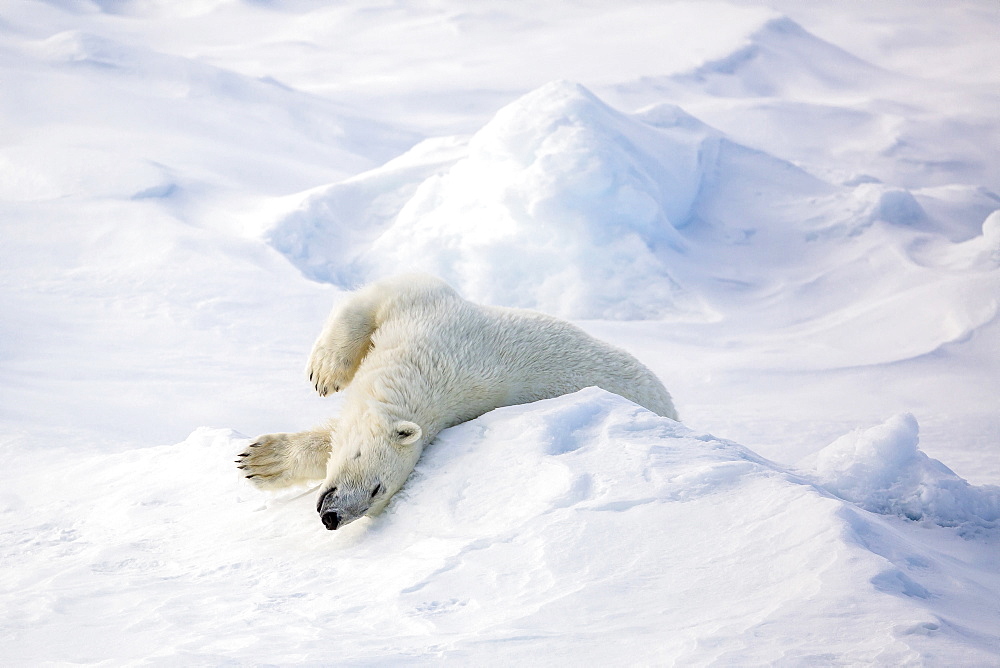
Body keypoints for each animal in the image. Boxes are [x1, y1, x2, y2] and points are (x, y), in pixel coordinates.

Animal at [238, 274, 680, 528]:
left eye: (379, 492)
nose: (333, 518)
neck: (434, 368)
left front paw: (259, 461)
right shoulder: (435, 317)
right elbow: (385, 295)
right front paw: (327, 372)